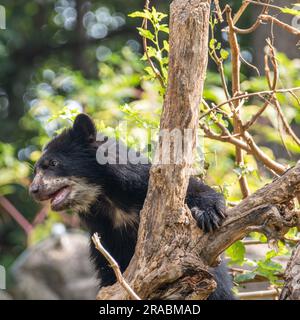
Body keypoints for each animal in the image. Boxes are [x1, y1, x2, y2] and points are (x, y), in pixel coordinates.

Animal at [30, 113, 236, 300]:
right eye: (36, 170)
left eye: (53, 163)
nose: (34, 190)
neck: (107, 198)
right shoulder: (105, 234)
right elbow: (109, 271)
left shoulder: (145, 183)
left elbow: (192, 189)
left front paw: (209, 214)